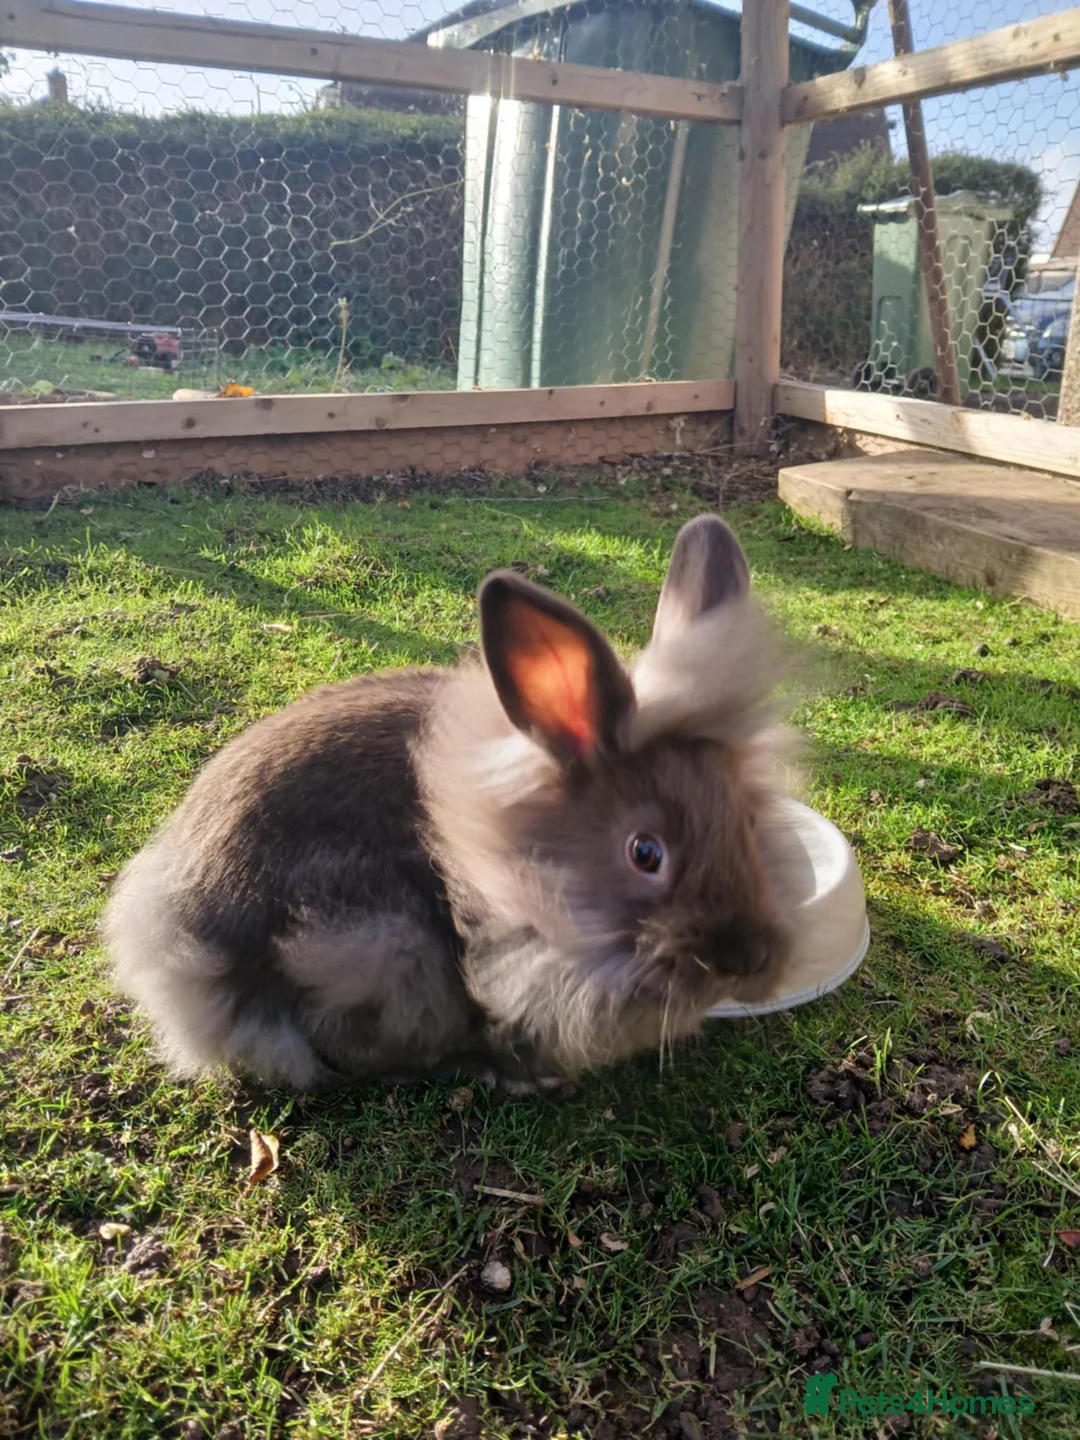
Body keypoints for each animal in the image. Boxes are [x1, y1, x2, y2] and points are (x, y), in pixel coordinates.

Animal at [103, 513, 799, 1094]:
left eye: (749, 821)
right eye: (645, 853)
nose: (750, 962)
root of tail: (181, 938)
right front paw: (528, 1074)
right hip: (377, 942)